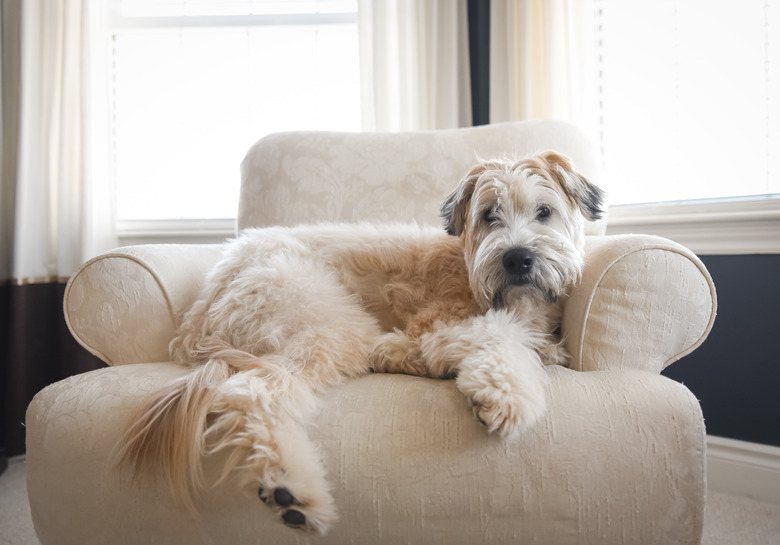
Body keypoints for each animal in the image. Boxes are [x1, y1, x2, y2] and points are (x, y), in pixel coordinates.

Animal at [117, 149, 604, 532]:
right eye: (489, 216)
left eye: (544, 212)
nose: (518, 258)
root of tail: (204, 302)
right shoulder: (440, 323)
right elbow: (501, 338)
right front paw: (507, 396)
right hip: (327, 326)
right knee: (251, 393)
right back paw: (292, 491)